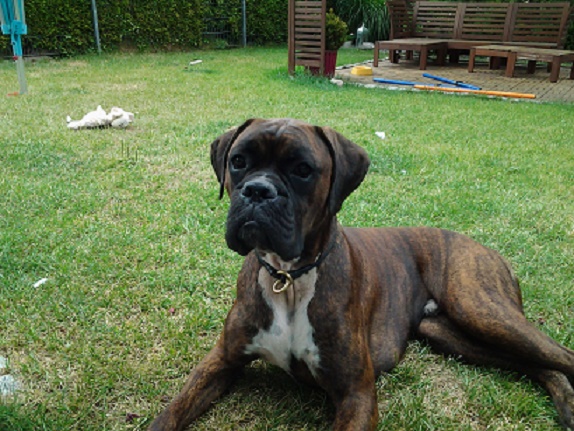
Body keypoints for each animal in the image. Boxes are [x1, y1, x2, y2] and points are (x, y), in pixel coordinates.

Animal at [149, 118, 574, 430]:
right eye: (238, 161)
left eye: (302, 170)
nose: (257, 191)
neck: (289, 278)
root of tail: (488, 250)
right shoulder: (221, 361)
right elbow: (171, 412)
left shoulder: (357, 395)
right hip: (453, 334)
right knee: (534, 364)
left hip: (481, 309)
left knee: (561, 356)